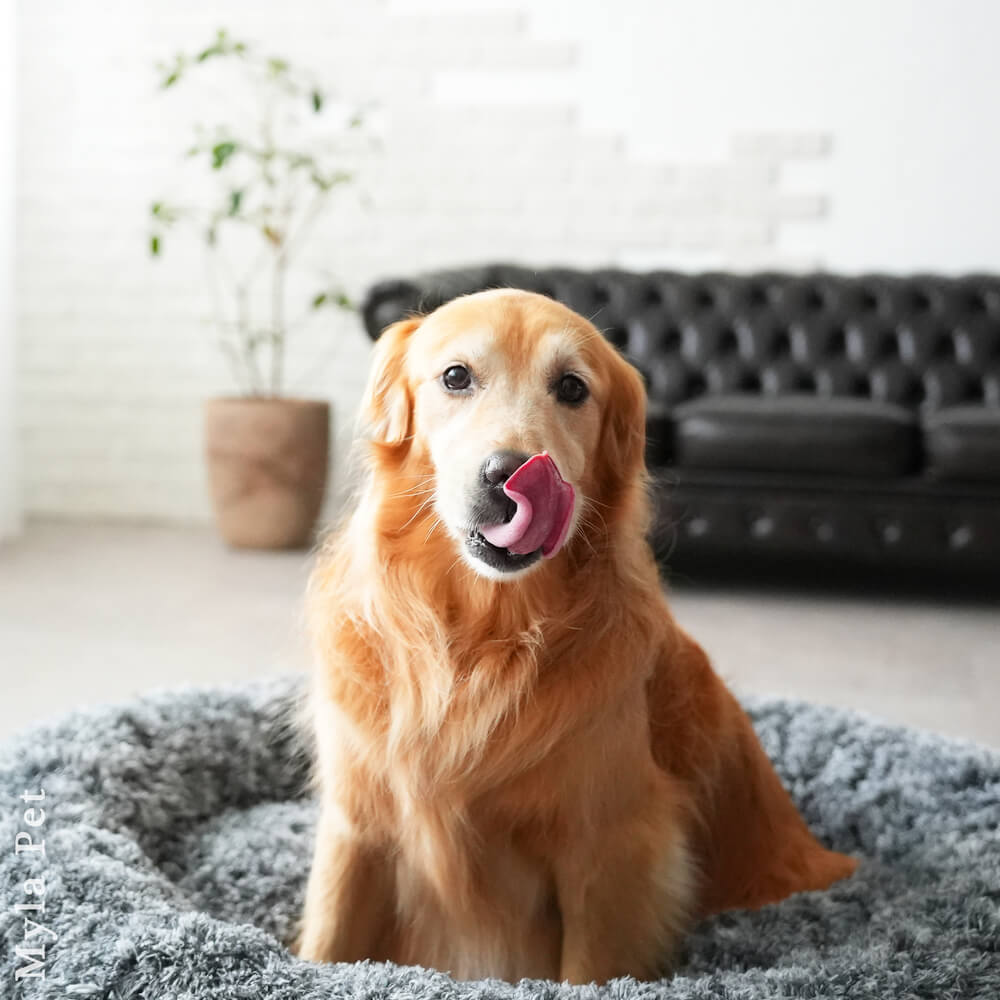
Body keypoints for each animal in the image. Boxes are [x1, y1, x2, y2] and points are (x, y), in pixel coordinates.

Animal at [294, 290, 852, 984]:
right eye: (456, 377)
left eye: (571, 388)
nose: (510, 475)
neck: (486, 638)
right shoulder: (354, 828)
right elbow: (326, 944)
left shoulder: (612, 854)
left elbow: (591, 967)